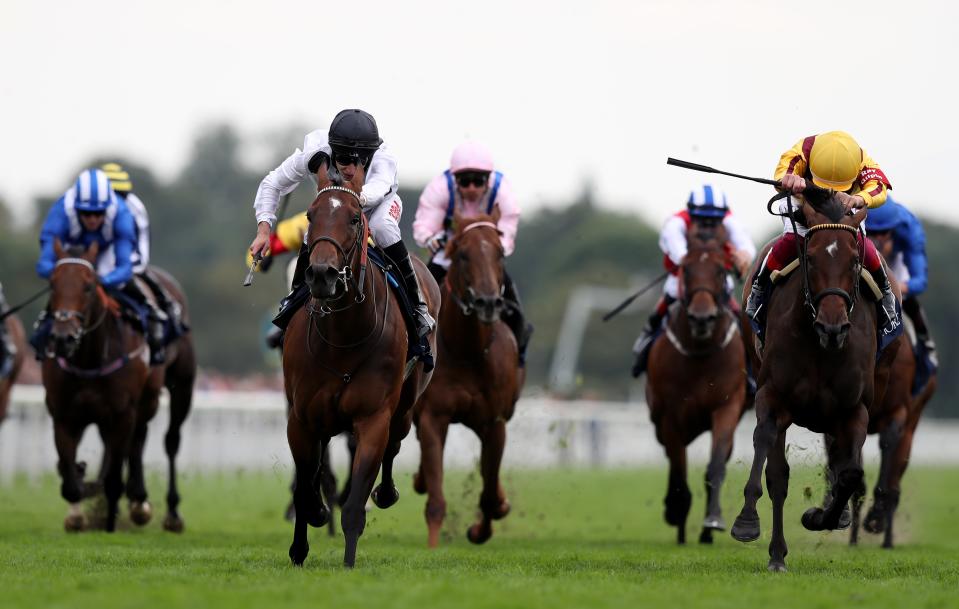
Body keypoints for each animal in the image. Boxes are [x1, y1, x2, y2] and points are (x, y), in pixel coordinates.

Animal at [42, 240, 196, 528]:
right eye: (53, 284)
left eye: (88, 286)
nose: (63, 337)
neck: (90, 359)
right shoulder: (65, 413)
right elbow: (70, 481)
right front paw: (81, 496)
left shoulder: (124, 410)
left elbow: (113, 478)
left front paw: (111, 519)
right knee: (132, 440)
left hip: (180, 386)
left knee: (169, 440)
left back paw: (168, 512)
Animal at [282, 162, 438, 564]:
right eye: (311, 215)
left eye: (354, 218)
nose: (322, 274)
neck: (342, 337)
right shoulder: (302, 416)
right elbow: (305, 483)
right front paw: (301, 545)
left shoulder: (372, 418)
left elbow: (355, 497)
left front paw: (349, 561)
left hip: (406, 404)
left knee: (394, 445)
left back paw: (384, 493)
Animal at [408, 209, 520, 548]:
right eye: (463, 254)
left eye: (500, 252)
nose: (487, 302)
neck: (467, 350)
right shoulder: (434, 417)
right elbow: (435, 498)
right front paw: (432, 547)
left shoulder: (493, 422)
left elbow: (489, 491)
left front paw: (481, 528)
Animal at [644, 235, 752, 544]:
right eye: (686, 270)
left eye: (720, 270)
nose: (702, 318)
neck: (701, 355)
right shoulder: (670, 416)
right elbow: (679, 470)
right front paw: (676, 511)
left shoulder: (727, 405)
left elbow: (715, 466)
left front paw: (712, 520)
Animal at [732, 192, 888, 572]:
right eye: (812, 258)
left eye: (854, 261)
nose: (833, 328)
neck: (822, 349)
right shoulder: (772, 397)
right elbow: (770, 461)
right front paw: (746, 522)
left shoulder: (854, 410)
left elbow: (850, 474)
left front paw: (821, 516)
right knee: (778, 474)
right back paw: (776, 553)